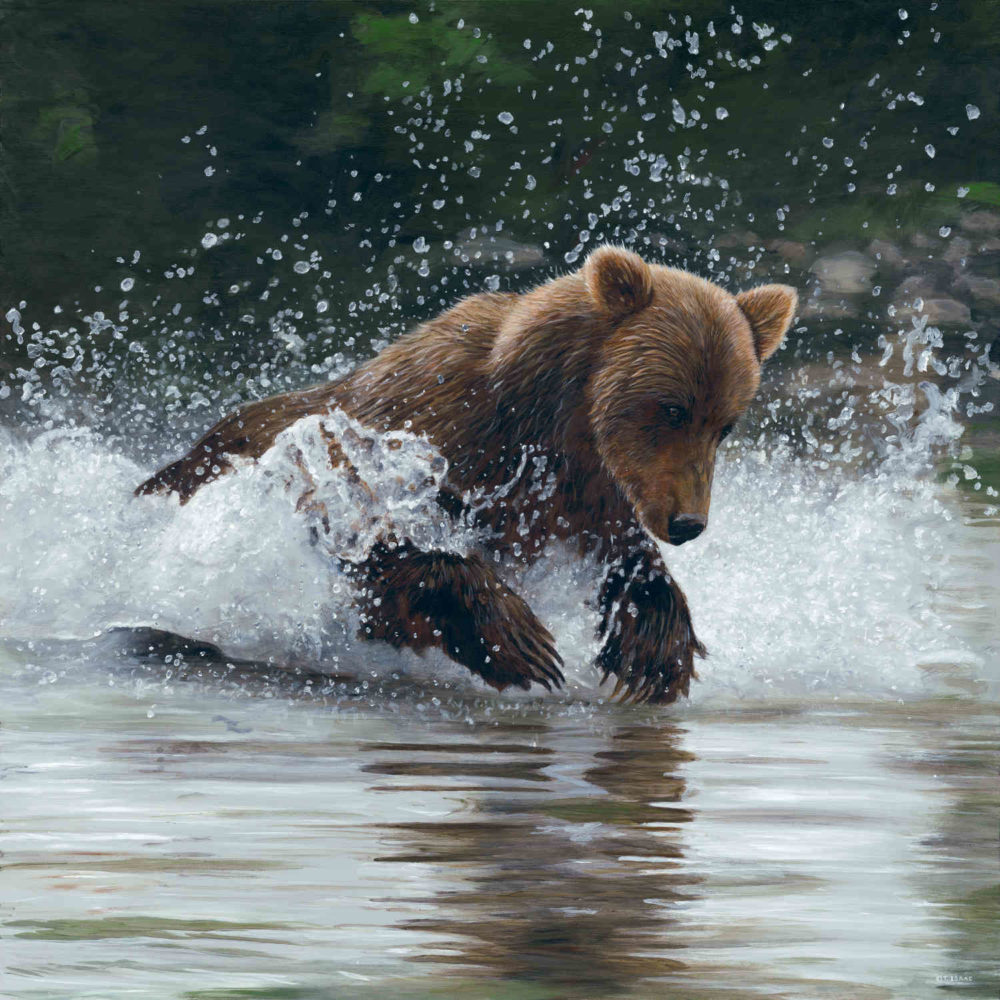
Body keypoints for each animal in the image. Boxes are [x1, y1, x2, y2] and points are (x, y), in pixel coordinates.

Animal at [139, 246, 796, 704]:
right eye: (671, 408)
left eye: (725, 424)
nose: (687, 522)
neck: (549, 418)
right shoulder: (421, 438)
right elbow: (379, 539)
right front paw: (520, 643)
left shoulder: (584, 490)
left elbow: (622, 549)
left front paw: (653, 652)